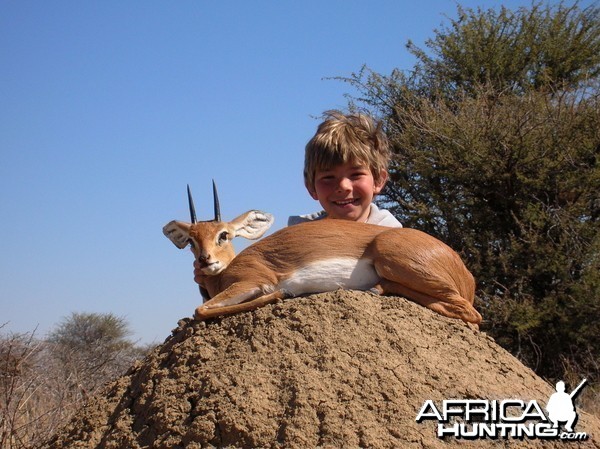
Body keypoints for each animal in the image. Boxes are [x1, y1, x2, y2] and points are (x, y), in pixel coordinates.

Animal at [164, 184, 482, 324]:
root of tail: (466, 274)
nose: (206, 261)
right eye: (191, 240)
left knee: (470, 313)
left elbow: (202, 310)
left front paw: (279, 295)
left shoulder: (251, 281)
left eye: (224, 234)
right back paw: (377, 289)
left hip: (393, 260)